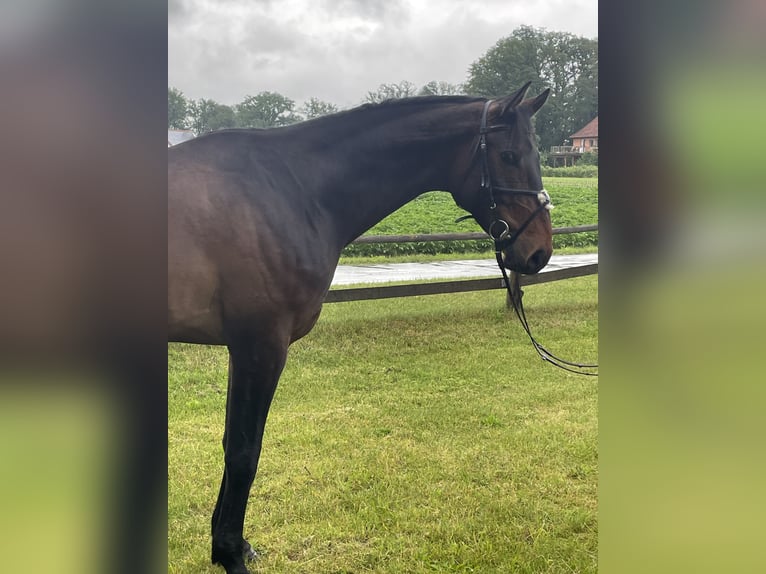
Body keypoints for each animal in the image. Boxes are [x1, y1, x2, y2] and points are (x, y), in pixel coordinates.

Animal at [168, 82, 552, 574]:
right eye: (508, 155)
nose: (540, 251)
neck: (292, 190)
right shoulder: (261, 347)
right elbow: (244, 452)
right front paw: (232, 554)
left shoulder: (243, 350)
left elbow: (233, 443)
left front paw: (227, 545)